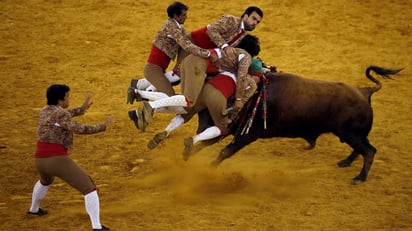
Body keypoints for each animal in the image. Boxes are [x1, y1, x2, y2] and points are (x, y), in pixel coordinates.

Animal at [191, 65, 402, 184]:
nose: (203, 126)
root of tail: (365, 91)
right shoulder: (229, 129)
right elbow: (205, 144)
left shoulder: (247, 134)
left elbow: (225, 151)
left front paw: (209, 168)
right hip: (352, 135)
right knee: (361, 149)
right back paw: (345, 163)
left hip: (351, 134)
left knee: (369, 151)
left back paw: (360, 178)